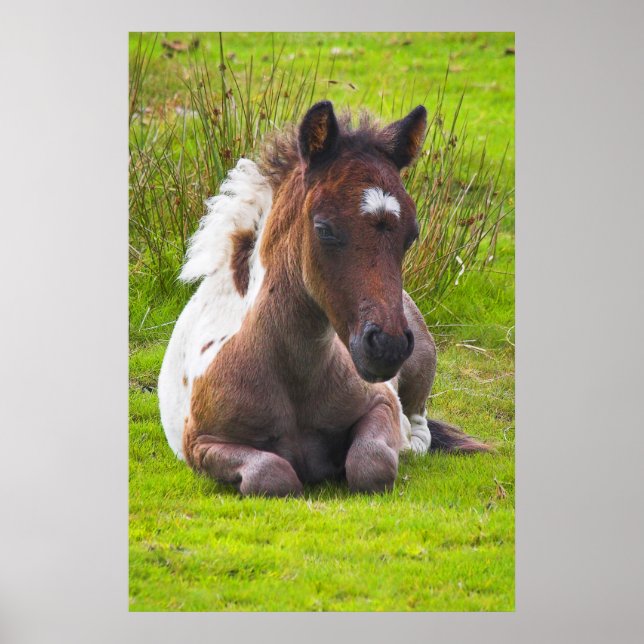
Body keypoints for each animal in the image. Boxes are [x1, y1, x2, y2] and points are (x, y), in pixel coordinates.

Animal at [158, 100, 488, 497]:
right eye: (324, 229)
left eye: (411, 234)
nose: (388, 345)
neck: (292, 376)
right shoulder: (201, 443)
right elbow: (272, 475)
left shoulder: (381, 403)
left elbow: (371, 463)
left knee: (419, 426)